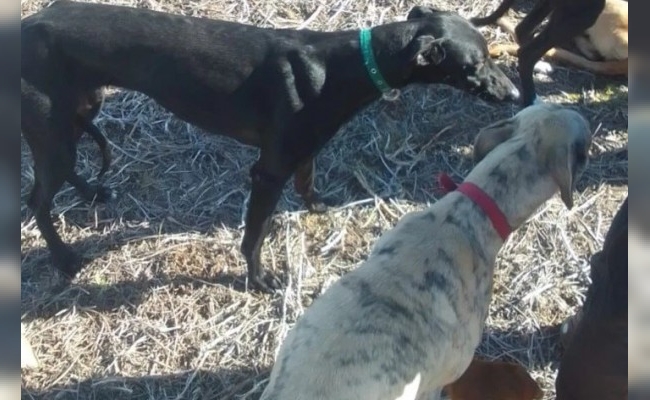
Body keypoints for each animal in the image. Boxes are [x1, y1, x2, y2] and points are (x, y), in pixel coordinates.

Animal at [19, 1, 516, 292]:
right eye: (474, 64)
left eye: (490, 54)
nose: (513, 94)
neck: (344, 66)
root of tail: (26, 24)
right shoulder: (268, 171)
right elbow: (253, 235)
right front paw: (259, 279)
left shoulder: (305, 149)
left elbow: (308, 182)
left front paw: (319, 208)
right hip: (54, 127)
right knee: (36, 200)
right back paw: (64, 259)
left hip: (80, 110)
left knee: (59, 175)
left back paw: (91, 192)